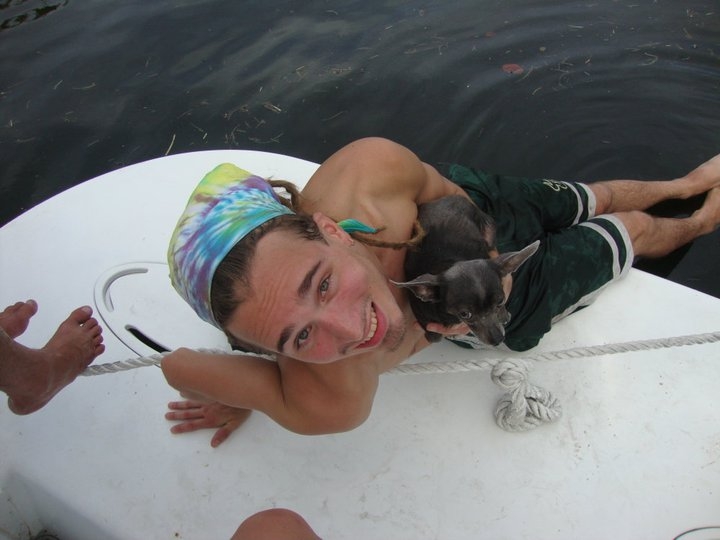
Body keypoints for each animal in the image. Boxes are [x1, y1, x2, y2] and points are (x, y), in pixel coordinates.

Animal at [392, 195, 539, 346]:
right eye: (465, 314)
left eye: (500, 301)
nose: (498, 339)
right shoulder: (428, 326)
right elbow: (435, 337)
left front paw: (503, 314)